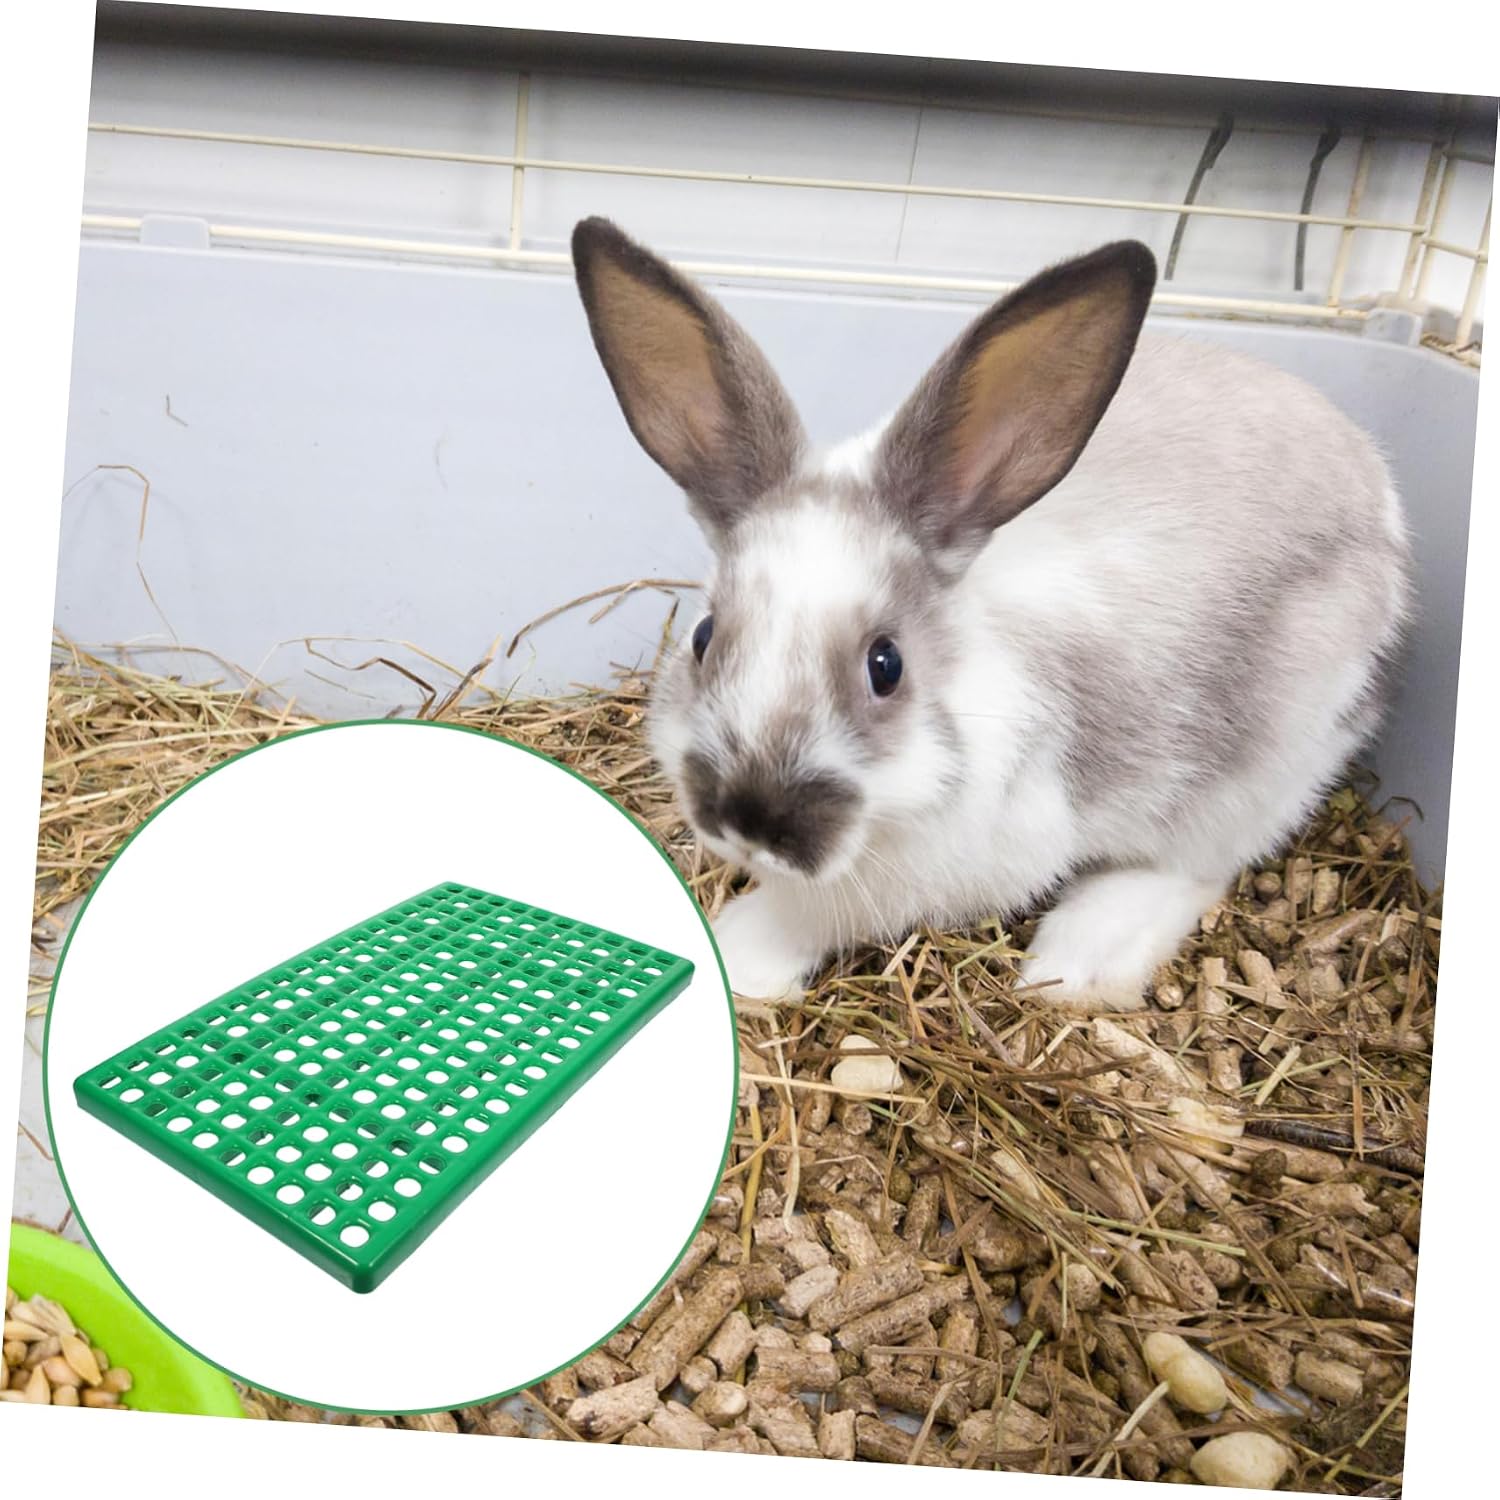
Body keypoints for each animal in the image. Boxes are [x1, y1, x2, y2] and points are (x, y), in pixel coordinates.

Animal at [570, 216, 1413, 1010]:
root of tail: (1378, 488)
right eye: (703, 637)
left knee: (1200, 865)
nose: (751, 821)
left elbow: (804, 915)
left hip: (1263, 769)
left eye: (886, 665)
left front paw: (737, 956)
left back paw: (1080, 960)